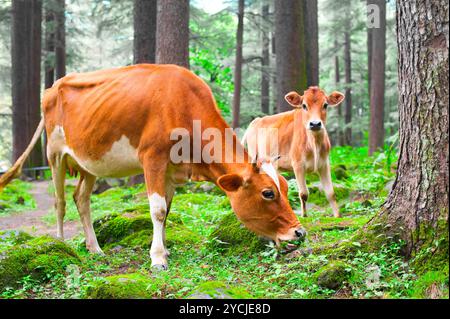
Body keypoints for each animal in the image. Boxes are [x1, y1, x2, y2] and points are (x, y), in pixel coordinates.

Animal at [0, 64, 306, 270]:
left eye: (284, 187)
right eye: (268, 193)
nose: (300, 232)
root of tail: (54, 85)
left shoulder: (171, 170)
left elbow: (167, 211)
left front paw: (165, 251)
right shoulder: (153, 159)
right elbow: (157, 210)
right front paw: (158, 258)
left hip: (90, 161)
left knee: (81, 198)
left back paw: (95, 248)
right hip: (54, 153)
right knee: (60, 201)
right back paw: (62, 244)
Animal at [243, 86, 344, 219]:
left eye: (325, 105)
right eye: (304, 105)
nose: (315, 124)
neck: (314, 143)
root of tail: (255, 121)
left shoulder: (324, 164)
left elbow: (331, 193)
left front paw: (337, 215)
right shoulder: (298, 164)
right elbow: (304, 193)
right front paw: (304, 215)